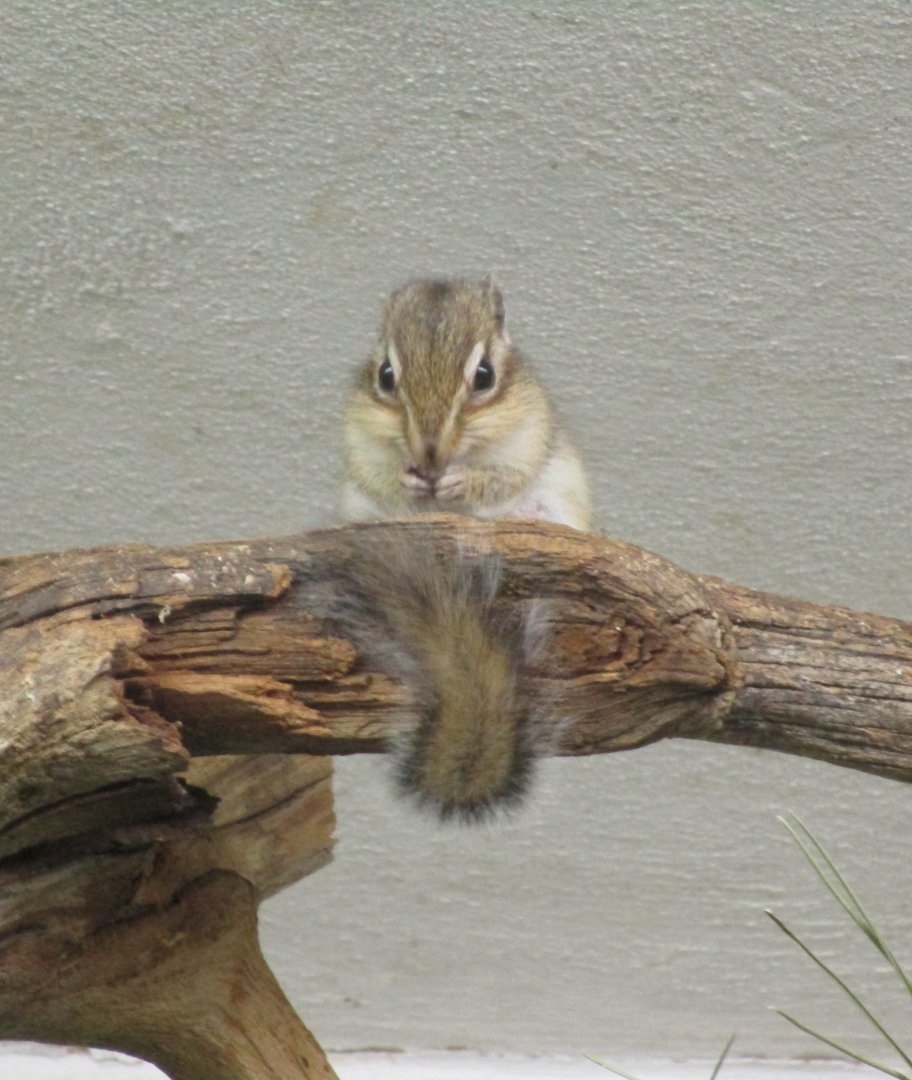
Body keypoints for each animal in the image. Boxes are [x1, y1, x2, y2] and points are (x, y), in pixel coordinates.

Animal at [339, 278, 591, 821]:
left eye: (484, 375)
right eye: (386, 375)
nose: (430, 453)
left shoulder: (528, 438)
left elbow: (499, 477)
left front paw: (461, 481)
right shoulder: (358, 442)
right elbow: (379, 474)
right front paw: (408, 479)